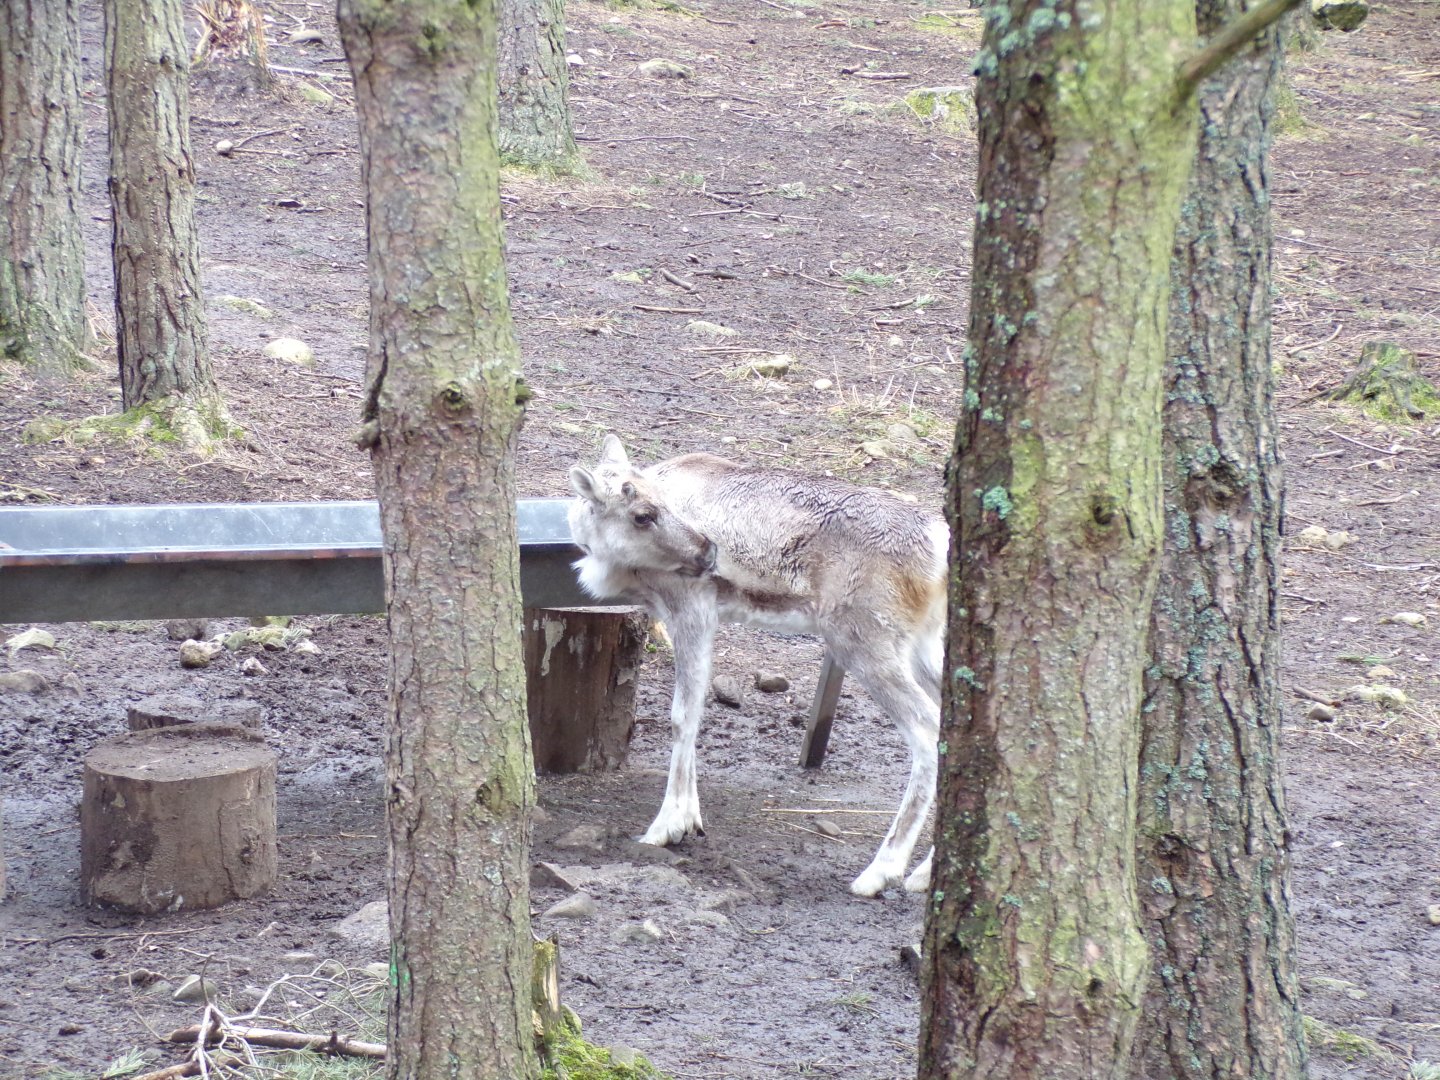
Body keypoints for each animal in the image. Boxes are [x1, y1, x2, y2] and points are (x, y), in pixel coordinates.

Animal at [567, 435, 945, 897]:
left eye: (660, 506)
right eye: (643, 514)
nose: (709, 552)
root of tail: (940, 543)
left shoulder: (691, 607)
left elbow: (681, 716)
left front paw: (667, 825)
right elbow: (696, 713)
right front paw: (692, 818)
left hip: (864, 640)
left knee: (927, 730)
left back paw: (881, 871)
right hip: (924, 646)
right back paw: (924, 873)